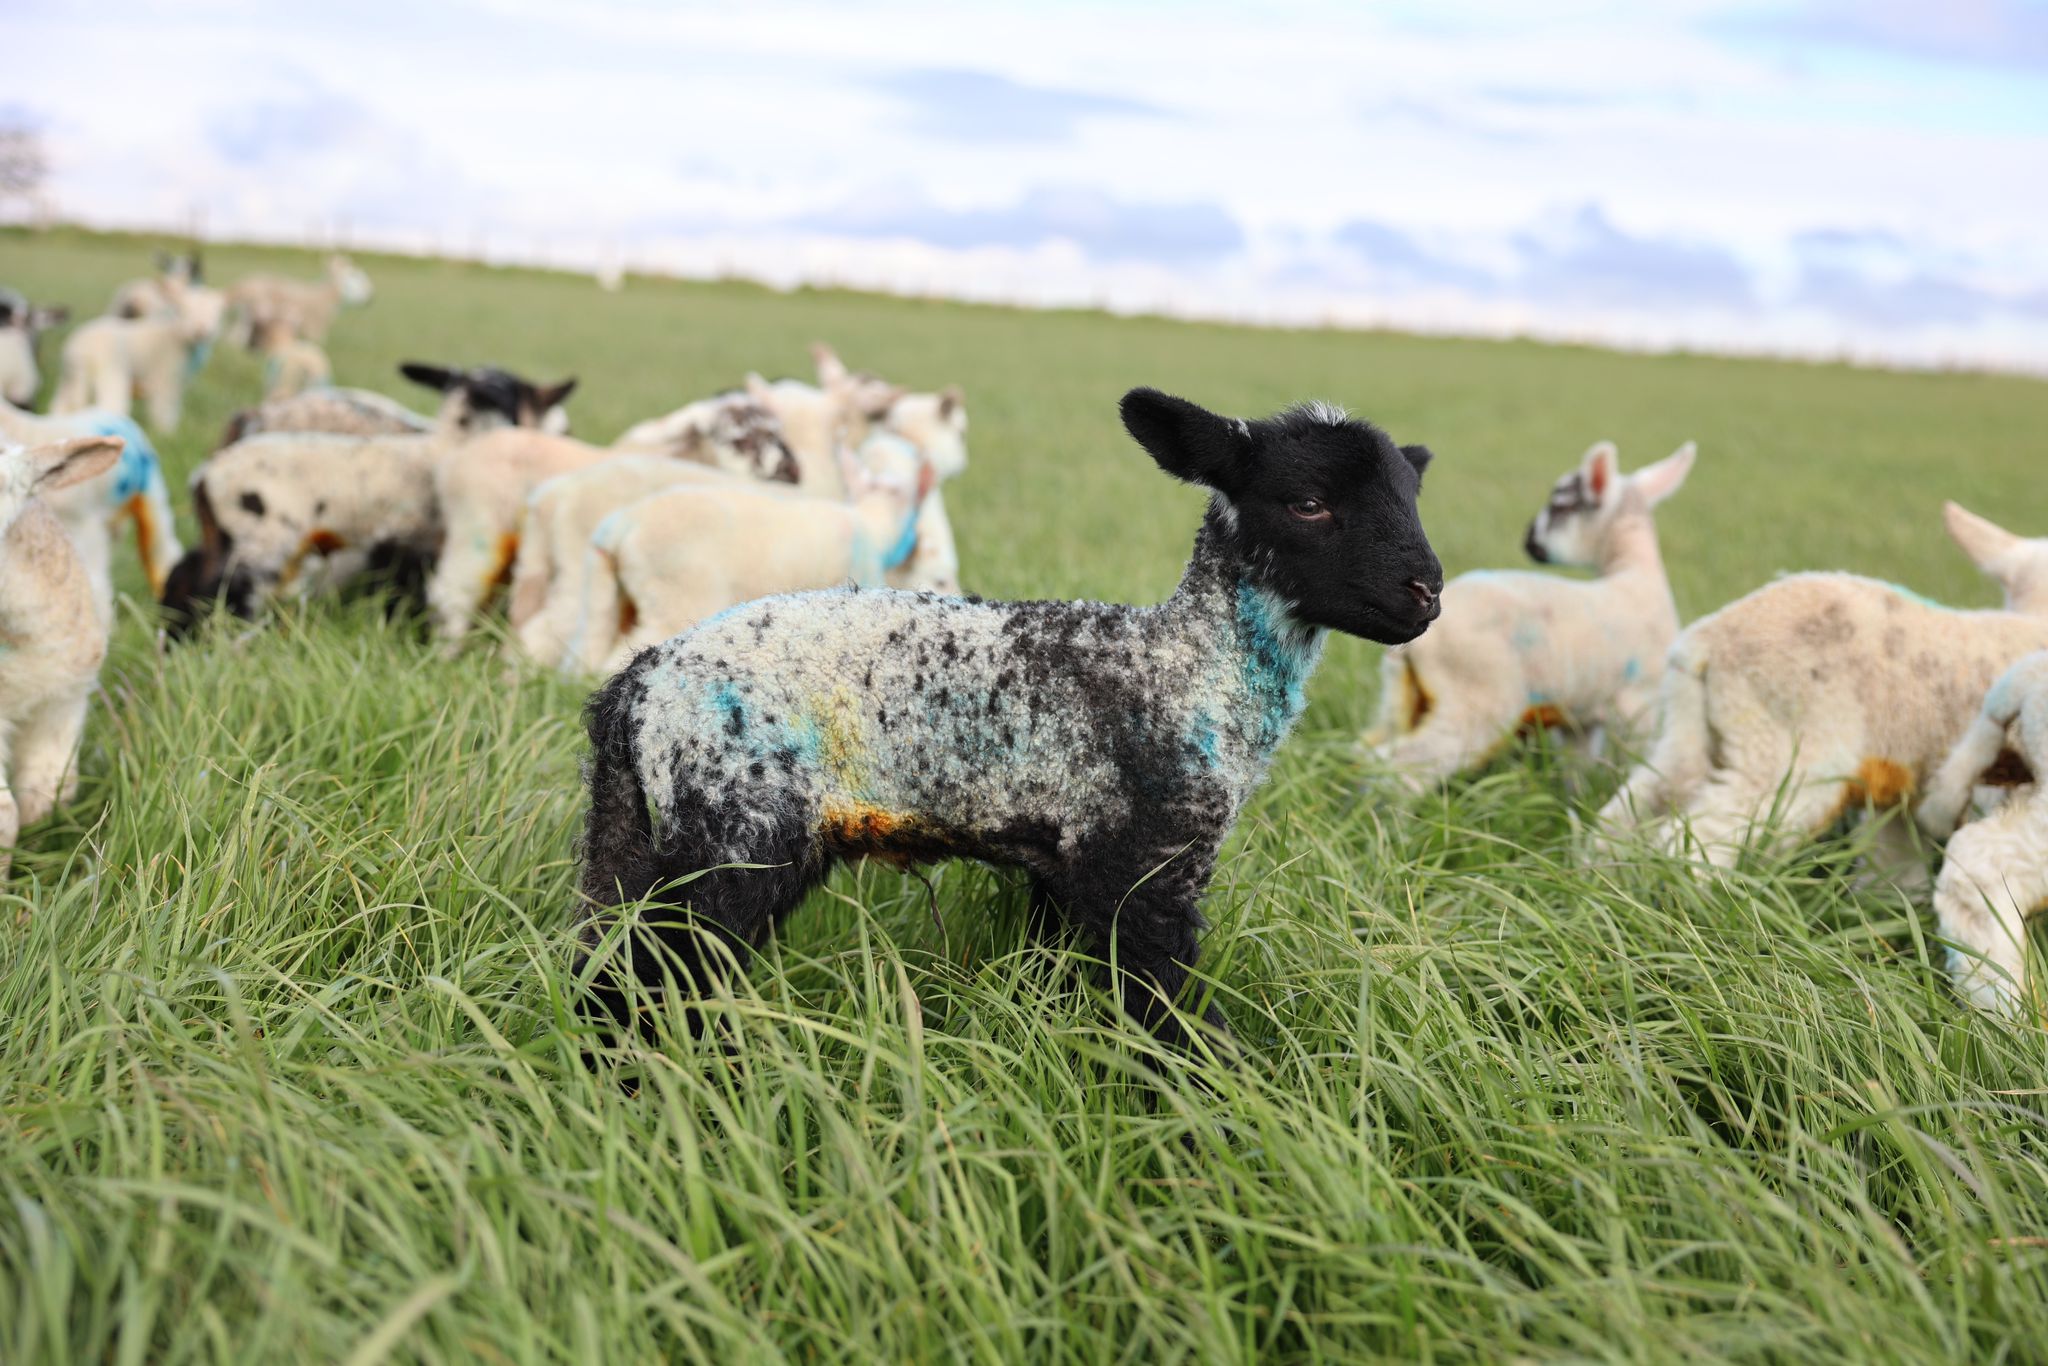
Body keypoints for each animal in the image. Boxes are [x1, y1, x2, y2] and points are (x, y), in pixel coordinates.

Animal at [51, 276, 226, 431]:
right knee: (109, 406)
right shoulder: (165, 379)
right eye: (184, 311)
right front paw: (167, 433)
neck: (176, 337)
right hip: (110, 375)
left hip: (68, 380)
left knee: (61, 406)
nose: (201, 331)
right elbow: (164, 410)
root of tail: (78, 349)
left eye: (216, 313)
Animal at [160, 363, 575, 633]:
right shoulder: (412, 548)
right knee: (216, 591)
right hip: (261, 546)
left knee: (185, 576)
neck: (444, 444)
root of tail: (206, 476)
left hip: (227, 541)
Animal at [225, 253, 373, 349]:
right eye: (355, 276)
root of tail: (241, 285)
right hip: (253, 314)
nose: (371, 298)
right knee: (236, 338)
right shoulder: (315, 331)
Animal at [1362, 439, 1696, 784]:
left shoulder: (1584, 716)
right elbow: (1631, 761)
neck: (1635, 574)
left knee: (1370, 750)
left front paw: (1580, 794)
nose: (1528, 542)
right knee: (1407, 762)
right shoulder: (1637, 704)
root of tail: (1414, 644)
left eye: (1560, 505)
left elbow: (1580, 766)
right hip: (1475, 698)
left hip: (1404, 698)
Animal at [1598, 503, 2048, 885]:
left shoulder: (1902, 796)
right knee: (1695, 839)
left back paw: (1604, 877)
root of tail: (1706, 640)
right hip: (1784, 752)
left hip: (1691, 734)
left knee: (1633, 808)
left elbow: (1897, 868)